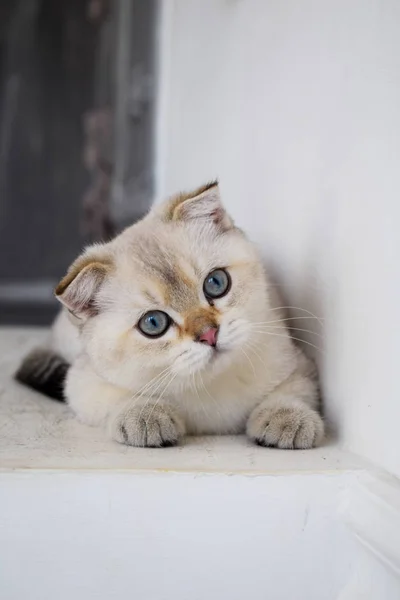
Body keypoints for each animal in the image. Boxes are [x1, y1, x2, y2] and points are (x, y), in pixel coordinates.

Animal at [14, 183, 324, 450]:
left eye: (216, 283)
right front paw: (144, 416)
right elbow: (121, 396)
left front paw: (288, 418)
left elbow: (291, 392)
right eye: (154, 323)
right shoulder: (83, 382)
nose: (209, 335)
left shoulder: (298, 363)